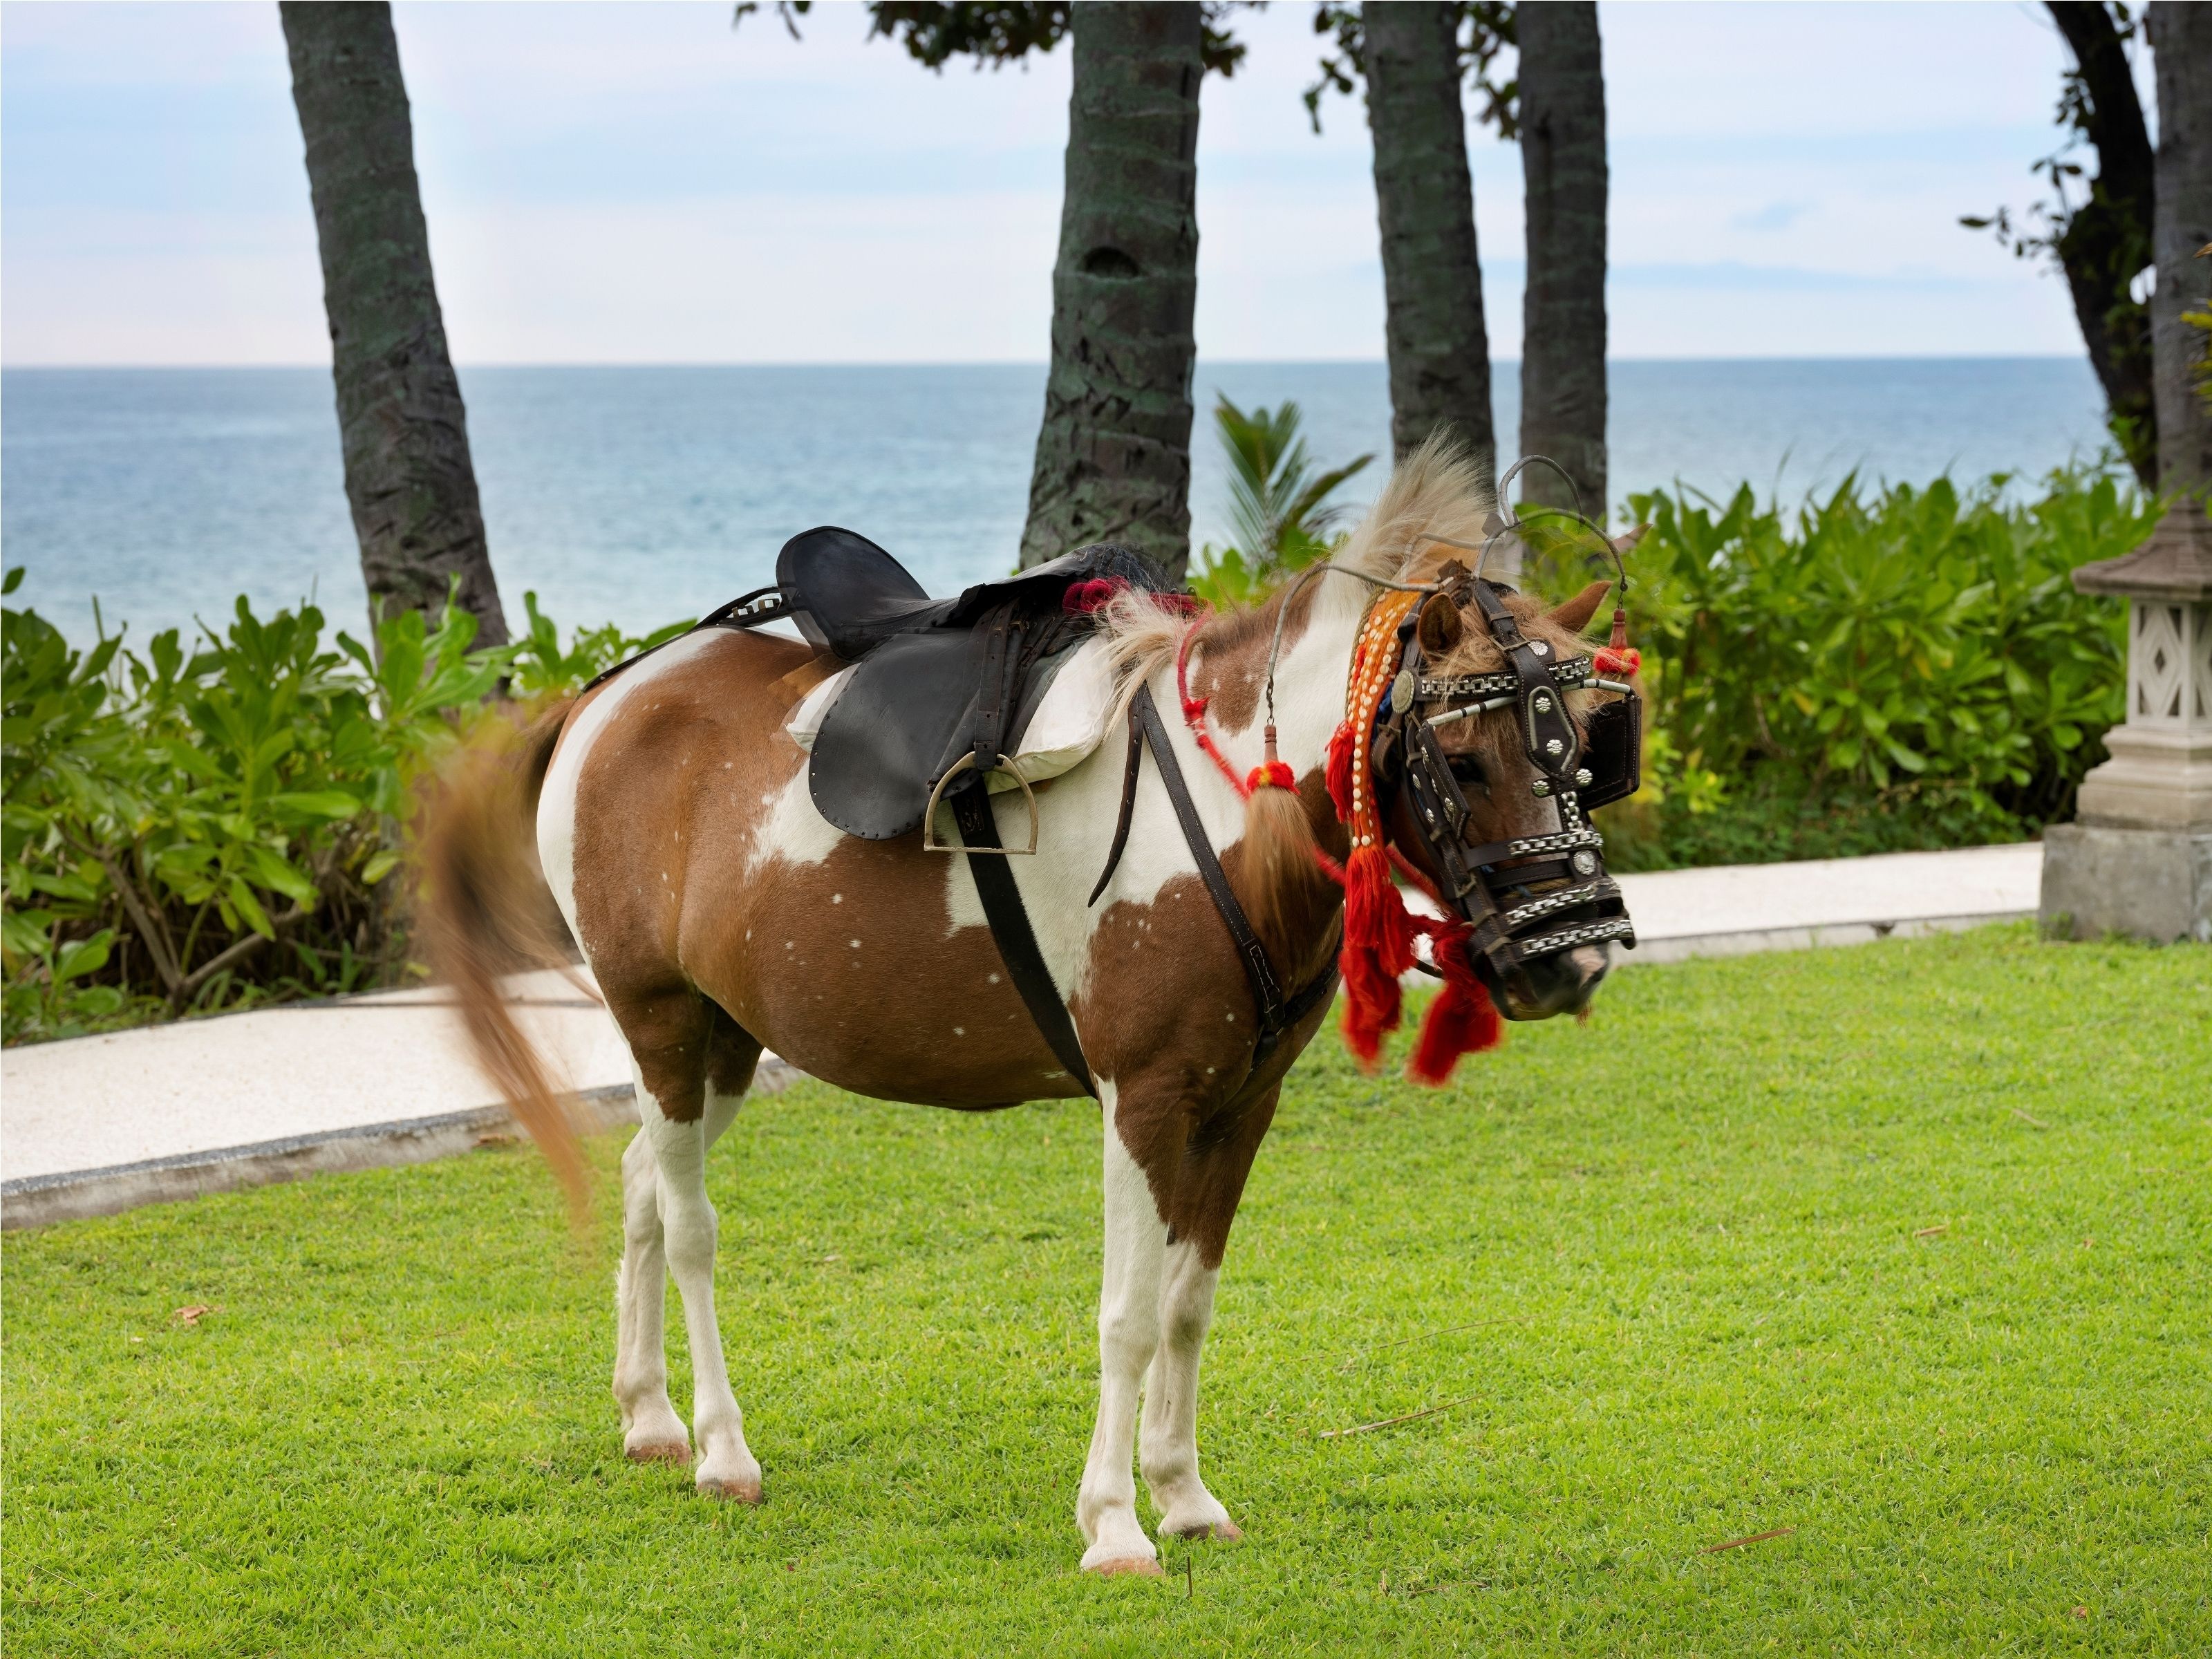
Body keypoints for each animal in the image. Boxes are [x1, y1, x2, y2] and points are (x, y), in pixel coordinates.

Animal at [419, 439, 1631, 1577]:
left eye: (1587, 749)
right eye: (1461, 762)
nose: (1572, 963)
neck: (1227, 817)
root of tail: (605, 694)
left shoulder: (1242, 1106)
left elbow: (1188, 1305)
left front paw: (1183, 1494)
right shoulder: (1144, 1101)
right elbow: (1129, 1315)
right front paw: (1116, 1522)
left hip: (724, 1038)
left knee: (639, 1182)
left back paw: (651, 1417)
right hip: (661, 1016)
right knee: (689, 1226)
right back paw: (721, 1446)